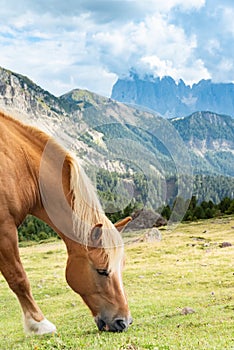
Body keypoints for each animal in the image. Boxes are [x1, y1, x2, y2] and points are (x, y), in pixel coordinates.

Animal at [0, 111, 132, 334]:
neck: (18, 164)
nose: (124, 321)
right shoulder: (4, 229)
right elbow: (18, 277)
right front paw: (39, 324)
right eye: (102, 271)